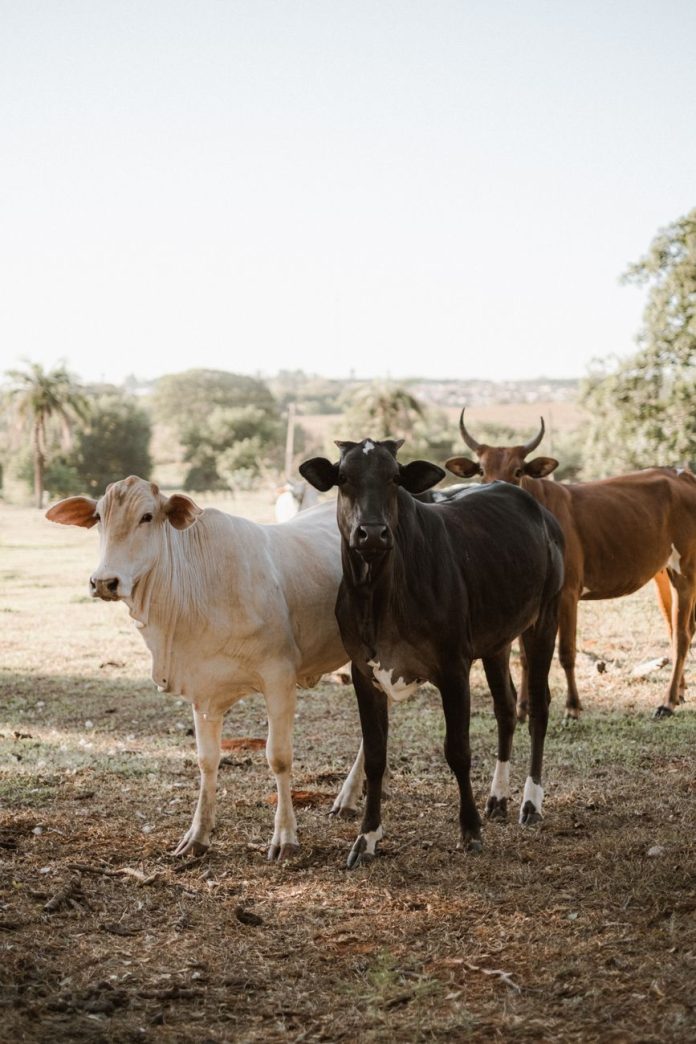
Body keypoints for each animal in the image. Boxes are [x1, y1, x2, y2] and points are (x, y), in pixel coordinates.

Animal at [45, 475, 350, 861]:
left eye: (147, 516)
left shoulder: (279, 678)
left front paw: (285, 837)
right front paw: (198, 835)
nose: (103, 582)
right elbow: (207, 760)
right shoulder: (203, 690)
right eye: (99, 517)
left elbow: (278, 757)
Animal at [300, 439, 564, 867]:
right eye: (343, 477)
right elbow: (375, 756)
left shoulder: (453, 666)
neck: (379, 598)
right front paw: (366, 837)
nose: (372, 533)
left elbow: (457, 750)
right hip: (496, 640)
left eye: (395, 477)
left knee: (538, 706)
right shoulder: (363, 672)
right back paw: (498, 797)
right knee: (506, 707)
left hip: (546, 617)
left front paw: (470, 830)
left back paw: (531, 802)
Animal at [445, 409, 696, 719]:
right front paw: (523, 707)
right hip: (663, 572)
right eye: (481, 470)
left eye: (518, 471)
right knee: (676, 630)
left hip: (685, 569)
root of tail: (682, 474)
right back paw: (680, 693)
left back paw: (667, 701)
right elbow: (525, 656)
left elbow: (566, 652)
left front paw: (573, 706)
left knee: (682, 636)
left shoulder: (567, 594)